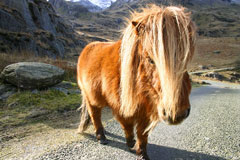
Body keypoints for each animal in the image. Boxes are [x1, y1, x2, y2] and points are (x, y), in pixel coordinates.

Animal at [77, 5, 195, 160]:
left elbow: (142, 134)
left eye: (185, 59)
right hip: (90, 98)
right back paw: (101, 137)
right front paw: (130, 142)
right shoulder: (121, 108)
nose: (178, 113)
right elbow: (127, 126)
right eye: (150, 59)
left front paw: (142, 153)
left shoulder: (145, 111)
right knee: (95, 115)